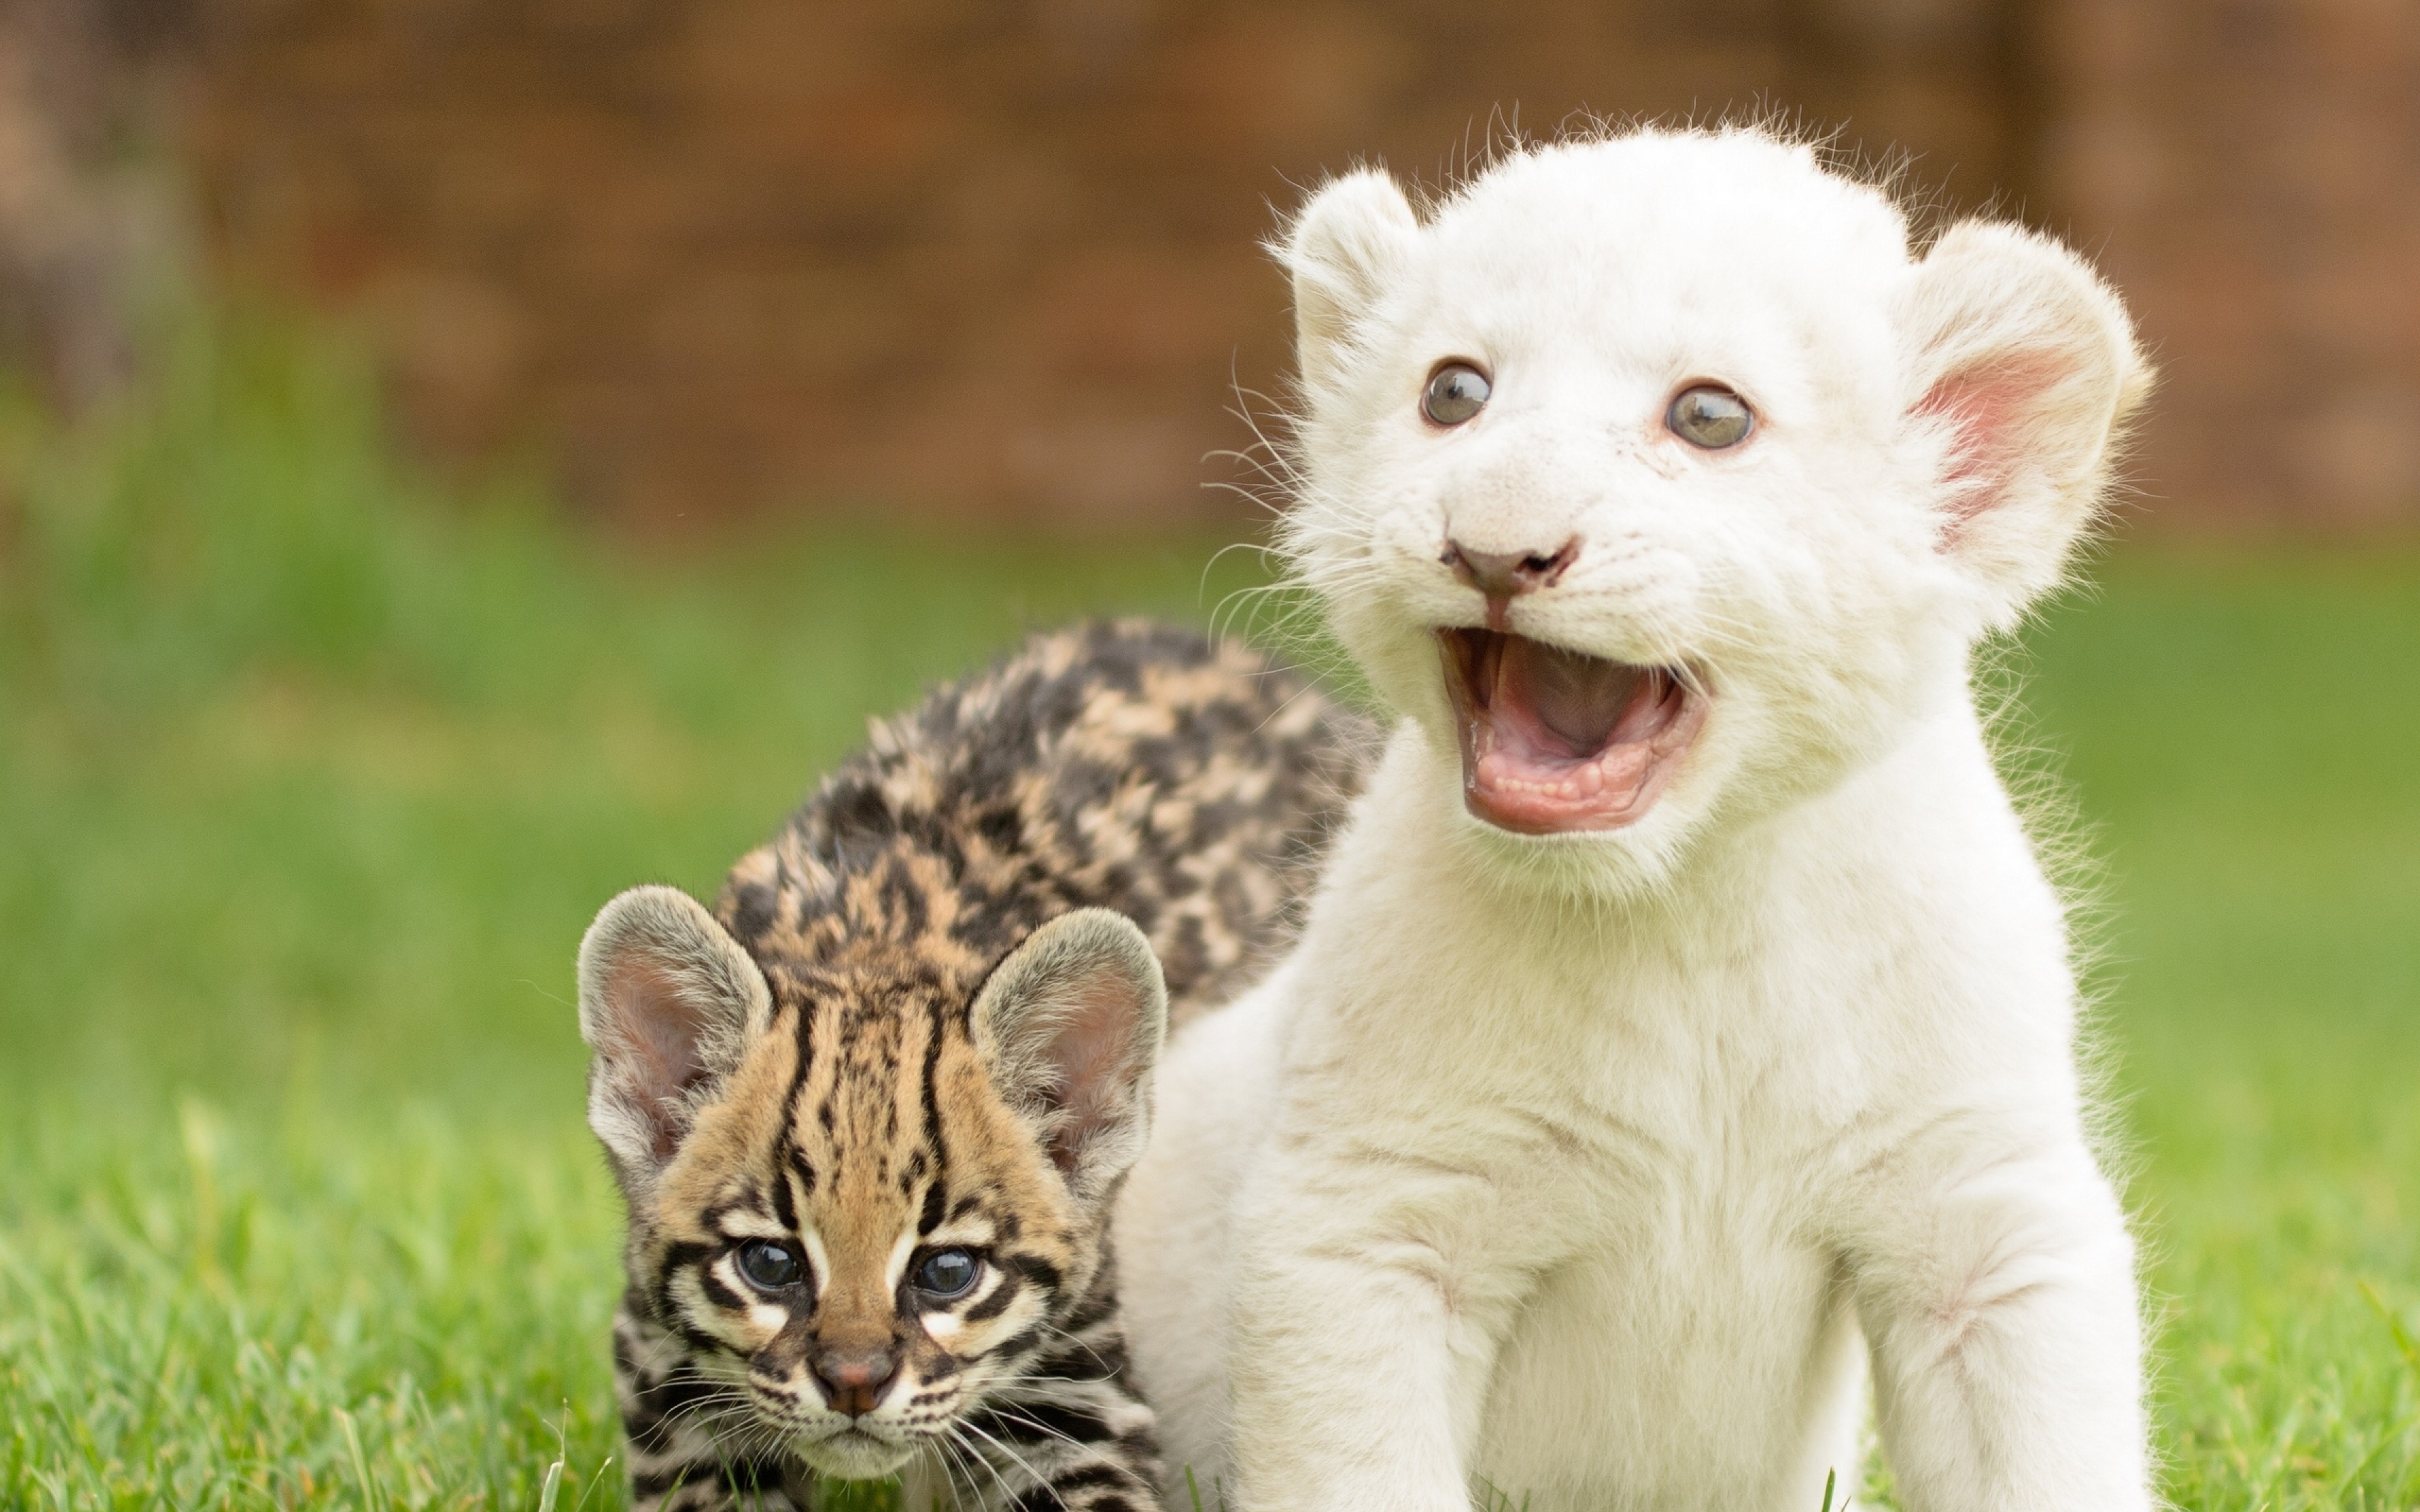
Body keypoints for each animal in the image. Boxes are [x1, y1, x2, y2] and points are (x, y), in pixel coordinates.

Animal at [563, 619, 1364, 1499]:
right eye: (768, 1263)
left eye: (948, 1271)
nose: (854, 1383)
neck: (875, 948)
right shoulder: (670, 1378)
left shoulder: (1074, 1394)